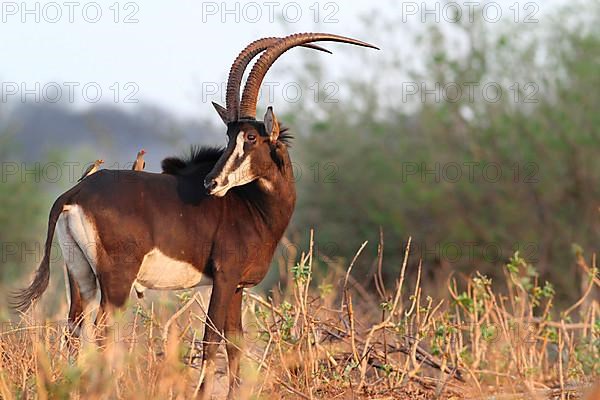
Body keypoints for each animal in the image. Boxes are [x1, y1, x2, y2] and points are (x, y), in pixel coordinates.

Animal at [12, 32, 376, 398]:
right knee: (102, 331)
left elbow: (235, 342)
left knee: (74, 329)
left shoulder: (238, 285)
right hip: (117, 279)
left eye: (250, 136)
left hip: (80, 275)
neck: (253, 206)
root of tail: (74, 194)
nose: (211, 182)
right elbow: (211, 339)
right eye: (230, 137)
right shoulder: (225, 276)